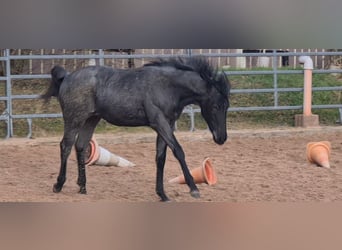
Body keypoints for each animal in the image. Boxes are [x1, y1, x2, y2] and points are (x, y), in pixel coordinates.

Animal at [41, 56, 231, 201]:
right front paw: (193, 189)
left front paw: (162, 194)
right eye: (216, 106)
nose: (221, 138)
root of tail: (66, 77)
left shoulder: (167, 124)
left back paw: (82, 187)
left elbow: (160, 158)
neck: (167, 87)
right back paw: (58, 184)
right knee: (66, 146)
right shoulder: (159, 122)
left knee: (80, 146)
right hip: (74, 119)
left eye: (227, 105)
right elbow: (178, 151)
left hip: (91, 119)